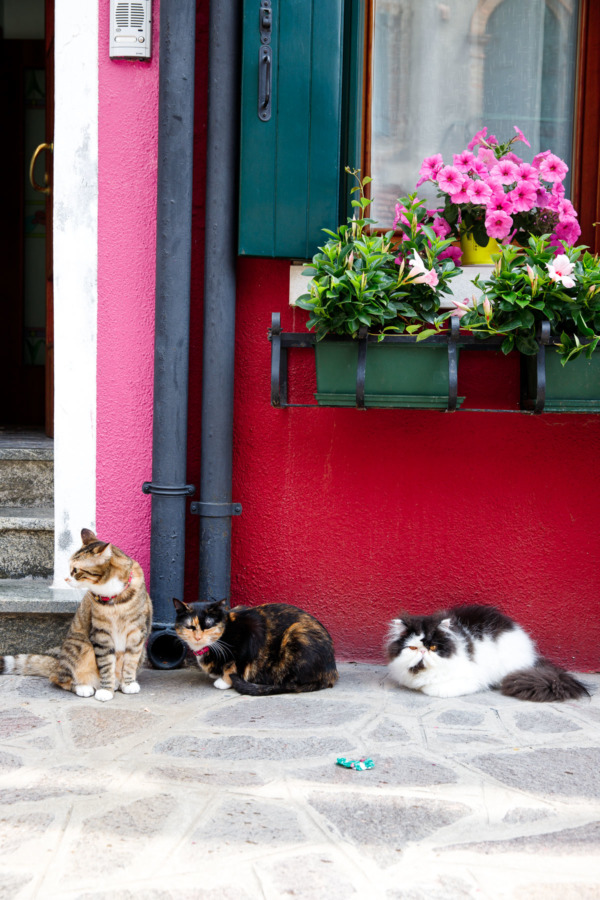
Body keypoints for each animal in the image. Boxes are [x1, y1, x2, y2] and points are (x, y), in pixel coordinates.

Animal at [0, 528, 152, 704]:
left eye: (76, 570)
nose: (66, 578)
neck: (113, 595)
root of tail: (58, 664)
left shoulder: (137, 633)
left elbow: (130, 662)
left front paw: (128, 683)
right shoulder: (101, 634)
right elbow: (106, 664)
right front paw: (105, 690)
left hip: (142, 652)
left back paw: (117, 683)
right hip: (82, 646)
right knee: (60, 678)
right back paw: (84, 687)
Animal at [176, 596, 340, 696]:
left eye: (208, 626)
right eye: (189, 627)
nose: (198, 637)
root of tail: (331, 672)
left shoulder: (250, 633)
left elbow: (232, 666)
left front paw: (224, 681)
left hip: (297, 634)